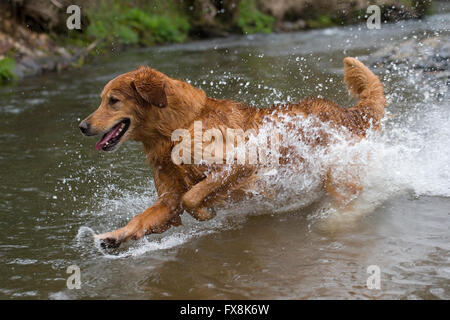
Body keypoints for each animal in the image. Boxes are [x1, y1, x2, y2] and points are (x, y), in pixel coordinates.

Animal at [79, 57, 384, 248]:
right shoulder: (168, 198)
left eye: (113, 100)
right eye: (102, 99)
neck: (180, 125)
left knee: (350, 201)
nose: (82, 126)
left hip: (338, 173)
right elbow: (144, 217)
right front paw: (113, 237)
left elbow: (192, 196)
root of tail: (346, 112)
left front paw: (205, 213)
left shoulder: (241, 161)